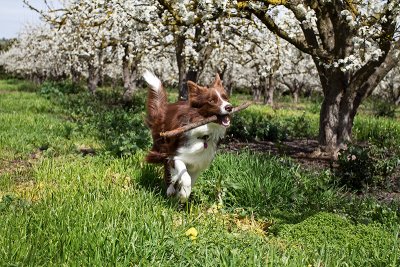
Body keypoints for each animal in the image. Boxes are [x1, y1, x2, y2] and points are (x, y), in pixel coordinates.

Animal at [143, 70, 231, 201]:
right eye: (211, 101)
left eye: (225, 98)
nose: (229, 107)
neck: (204, 133)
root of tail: (163, 108)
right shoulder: (176, 155)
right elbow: (185, 177)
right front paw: (182, 194)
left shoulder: (199, 162)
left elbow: (191, 180)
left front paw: (182, 194)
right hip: (163, 145)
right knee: (166, 164)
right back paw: (170, 189)